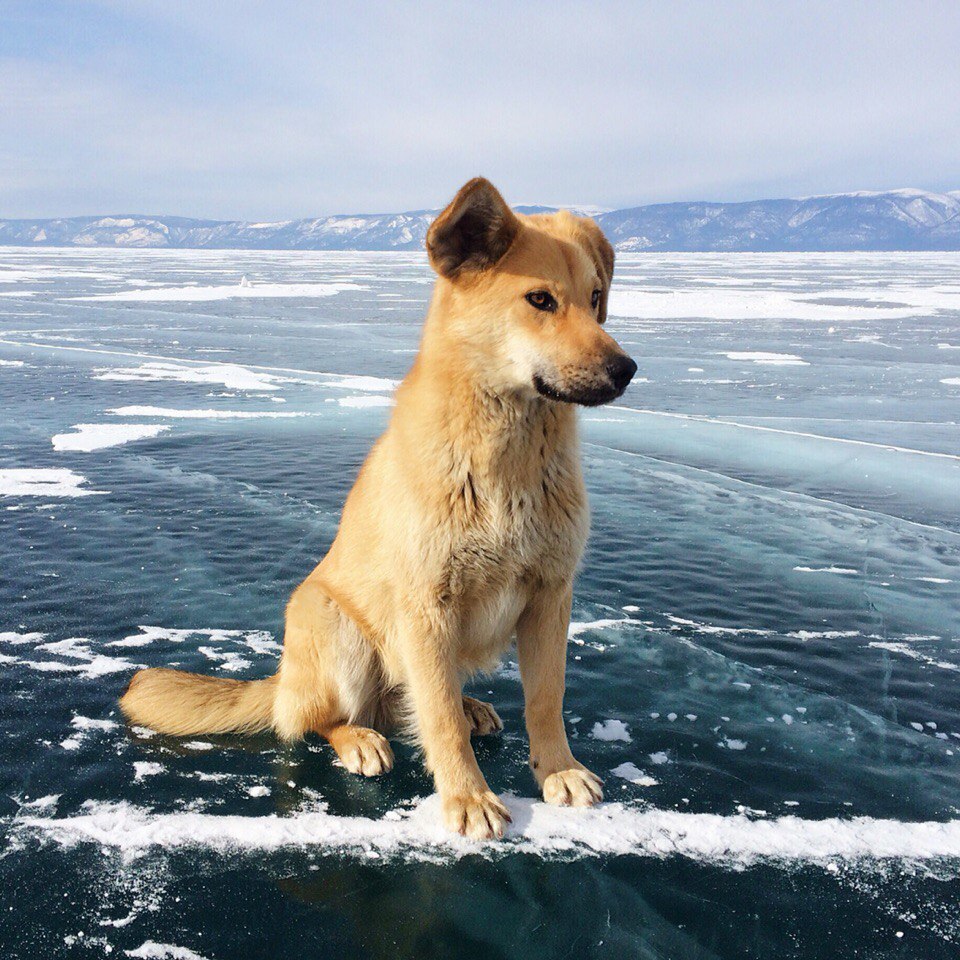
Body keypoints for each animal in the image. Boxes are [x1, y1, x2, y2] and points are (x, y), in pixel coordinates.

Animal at [120, 176, 636, 836]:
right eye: (540, 299)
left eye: (596, 298)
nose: (626, 370)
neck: (505, 465)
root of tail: (282, 680)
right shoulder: (426, 605)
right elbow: (438, 719)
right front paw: (468, 797)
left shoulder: (550, 594)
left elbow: (546, 698)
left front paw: (559, 772)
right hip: (335, 625)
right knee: (319, 719)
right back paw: (359, 740)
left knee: (407, 701)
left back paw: (467, 706)